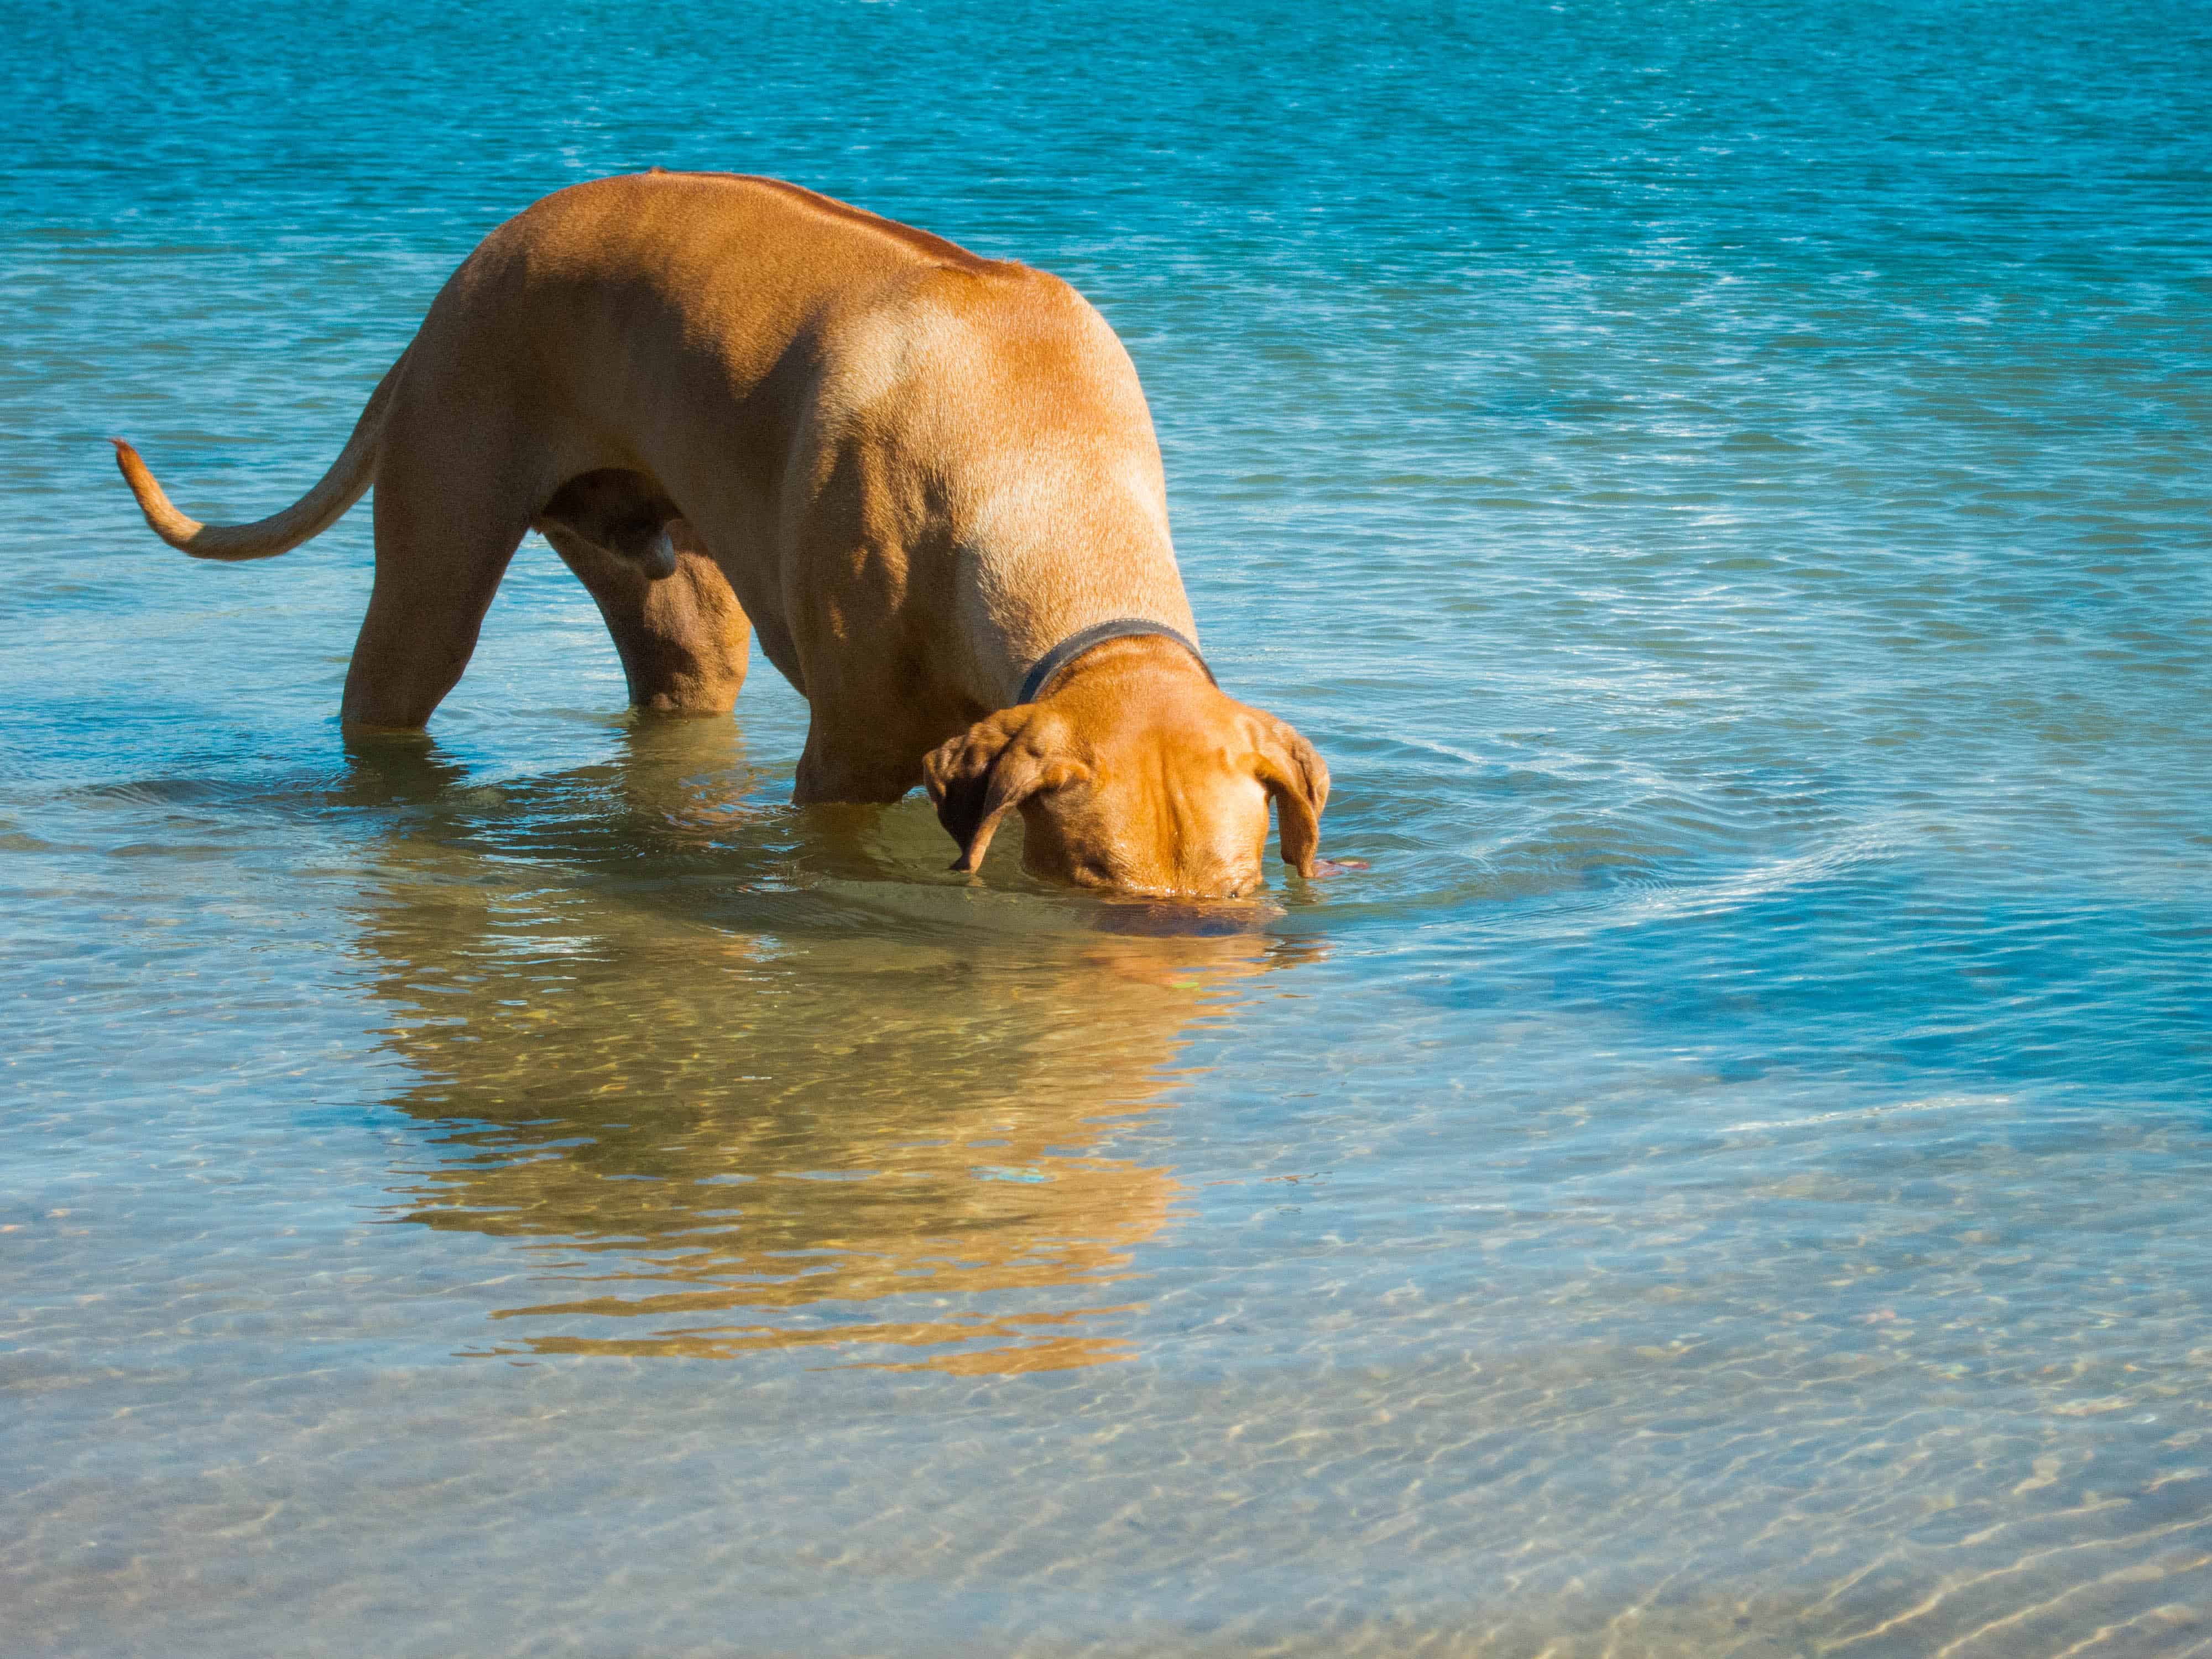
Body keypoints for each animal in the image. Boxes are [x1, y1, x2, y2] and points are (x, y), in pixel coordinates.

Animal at [112, 173, 1318, 898]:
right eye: (1098, 881)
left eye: (1237, 887)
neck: (1043, 474)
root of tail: (461, 282)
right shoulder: (842, 763)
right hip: (434, 567)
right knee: (396, 677)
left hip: (668, 591)